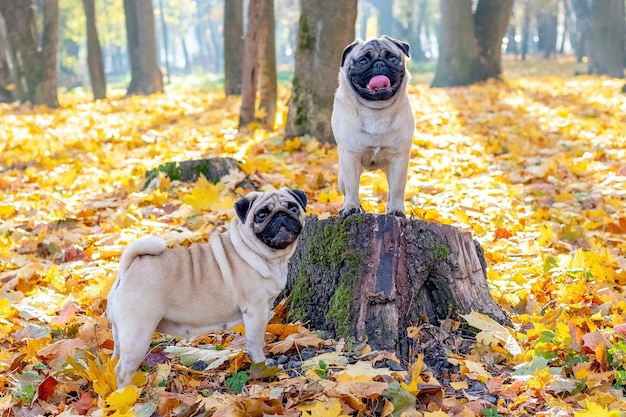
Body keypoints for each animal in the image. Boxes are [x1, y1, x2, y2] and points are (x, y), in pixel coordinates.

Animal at [107, 188, 308, 386]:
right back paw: (127, 394)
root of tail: (127, 270)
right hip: (138, 332)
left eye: (292, 207)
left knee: (115, 357)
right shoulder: (256, 311)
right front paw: (262, 367)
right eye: (261, 215)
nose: (281, 214)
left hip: (120, 331)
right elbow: (255, 344)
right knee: (122, 370)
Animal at [332, 35, 414, 218]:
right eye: (363, 61)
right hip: (341, 175)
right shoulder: (350, 157)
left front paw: (396, 210)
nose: (379, 64)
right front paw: (351, 208)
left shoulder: (399, 159)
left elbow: (397, 189)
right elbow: (352, 187)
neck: (376, 111)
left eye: (392, 58)